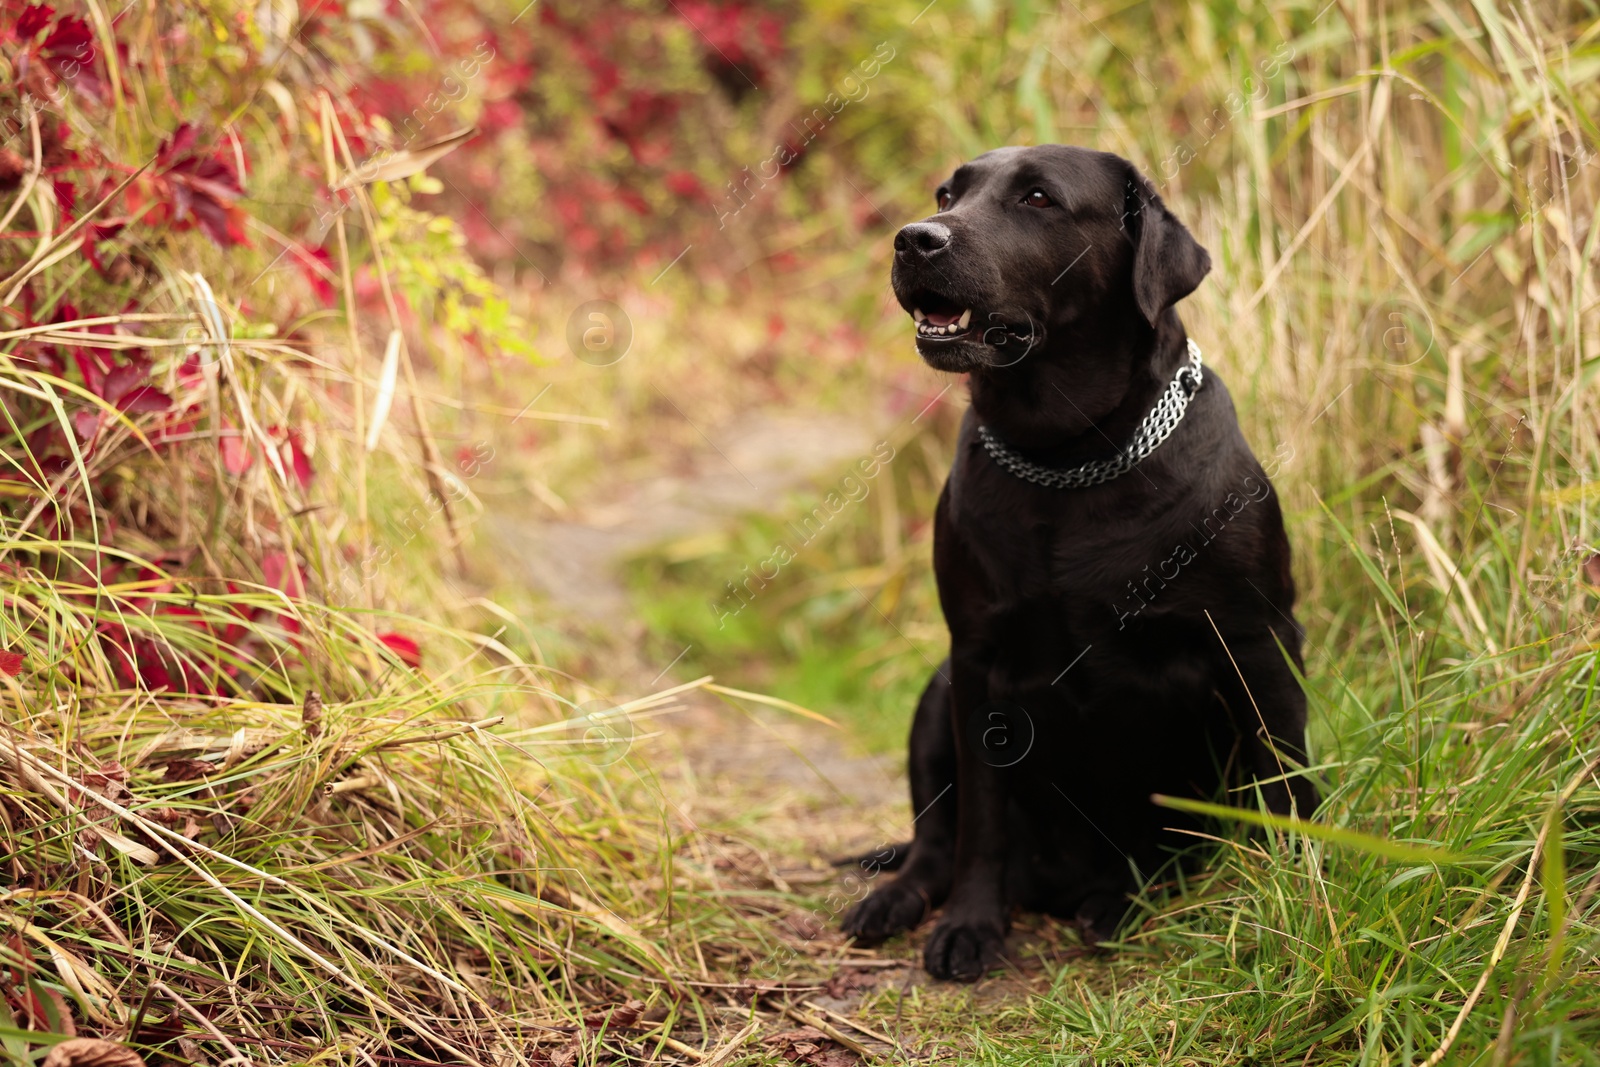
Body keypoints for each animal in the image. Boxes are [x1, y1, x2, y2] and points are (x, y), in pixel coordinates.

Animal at [844, 146, 1318, 979]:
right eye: (947, 193)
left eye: (1037, 198)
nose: (914, 238)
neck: (1066, 458)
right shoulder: (975, 659)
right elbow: (981, 822)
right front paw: (971, 924)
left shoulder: (1257, 640)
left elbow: (1285, 778)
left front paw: (1300, 895)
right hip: (935, 692)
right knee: (934, 841)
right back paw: (896, 899)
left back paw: (1117, 901)